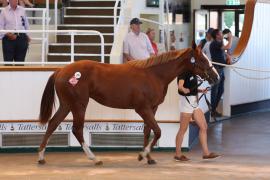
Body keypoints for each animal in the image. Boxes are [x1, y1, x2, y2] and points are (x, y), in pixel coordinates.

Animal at [37, 42, 219, 165]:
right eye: (202, 59)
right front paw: (142, 155)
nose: (216, 77)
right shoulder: (143, 109)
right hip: (79, 105)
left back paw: (41, 157)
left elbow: (148, 131)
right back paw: (94, 158)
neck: (154, 75)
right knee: (77, 129)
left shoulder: (152, 108)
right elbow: (157, 131)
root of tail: (61, 70)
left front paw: (148, 158)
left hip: (67, 105)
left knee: (53, 124)